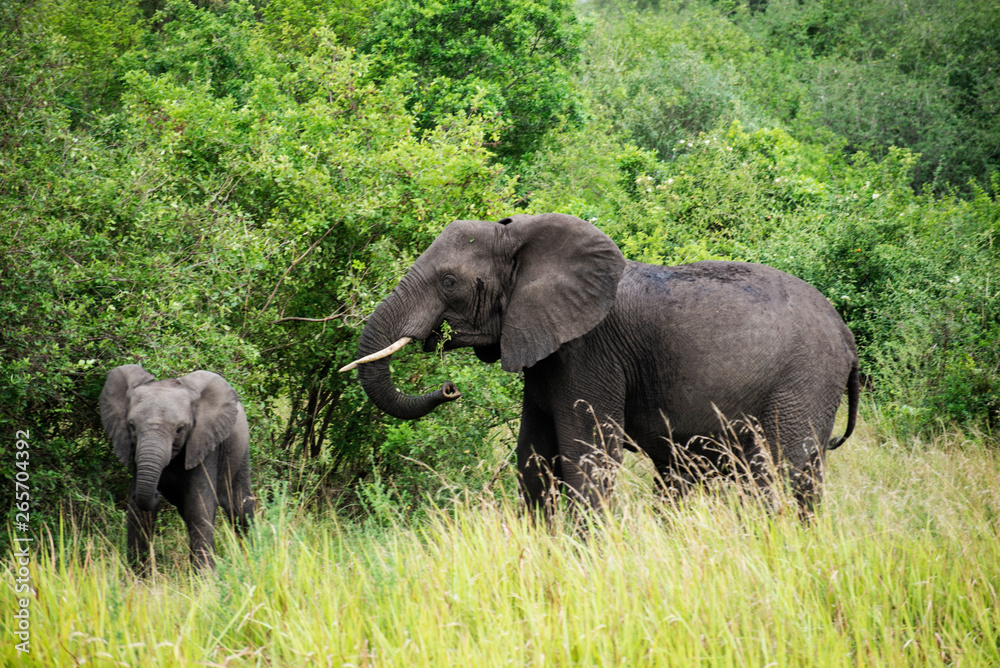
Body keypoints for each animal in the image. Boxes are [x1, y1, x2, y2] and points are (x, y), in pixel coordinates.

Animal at [100, 364, 254, 570]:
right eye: (131, 426)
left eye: (180, 429)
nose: (157, 492)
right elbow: (138, 514)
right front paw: (137, 577)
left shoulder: (204, 444)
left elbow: (198, 508)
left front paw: (205, 577)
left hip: (240, 451)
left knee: (240, 506)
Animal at [341, 213, 859, 516]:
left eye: (449, 281)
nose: (450, 388)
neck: (523, 238)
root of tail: (847, 338)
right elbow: (533, 458)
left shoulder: (589, 352)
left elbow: (586, 457)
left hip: (804, 381)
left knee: (785, 471)